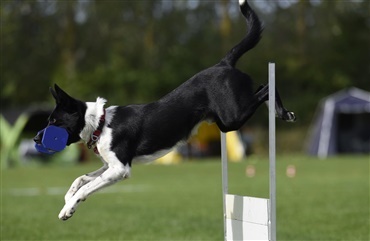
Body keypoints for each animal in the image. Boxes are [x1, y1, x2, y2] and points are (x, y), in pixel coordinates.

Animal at [33, 0, 296, 220]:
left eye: (53, 121)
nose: (35, 138)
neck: (100, 123)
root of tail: (224, 63)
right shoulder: (110, 166)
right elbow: (80, 179)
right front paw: (68, 199)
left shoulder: (120, 169)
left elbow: (85, 186)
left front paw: (67, 209)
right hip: (224, 121)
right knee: (261, 87)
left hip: (232, 118)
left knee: (267, 87)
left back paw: (283, 113)